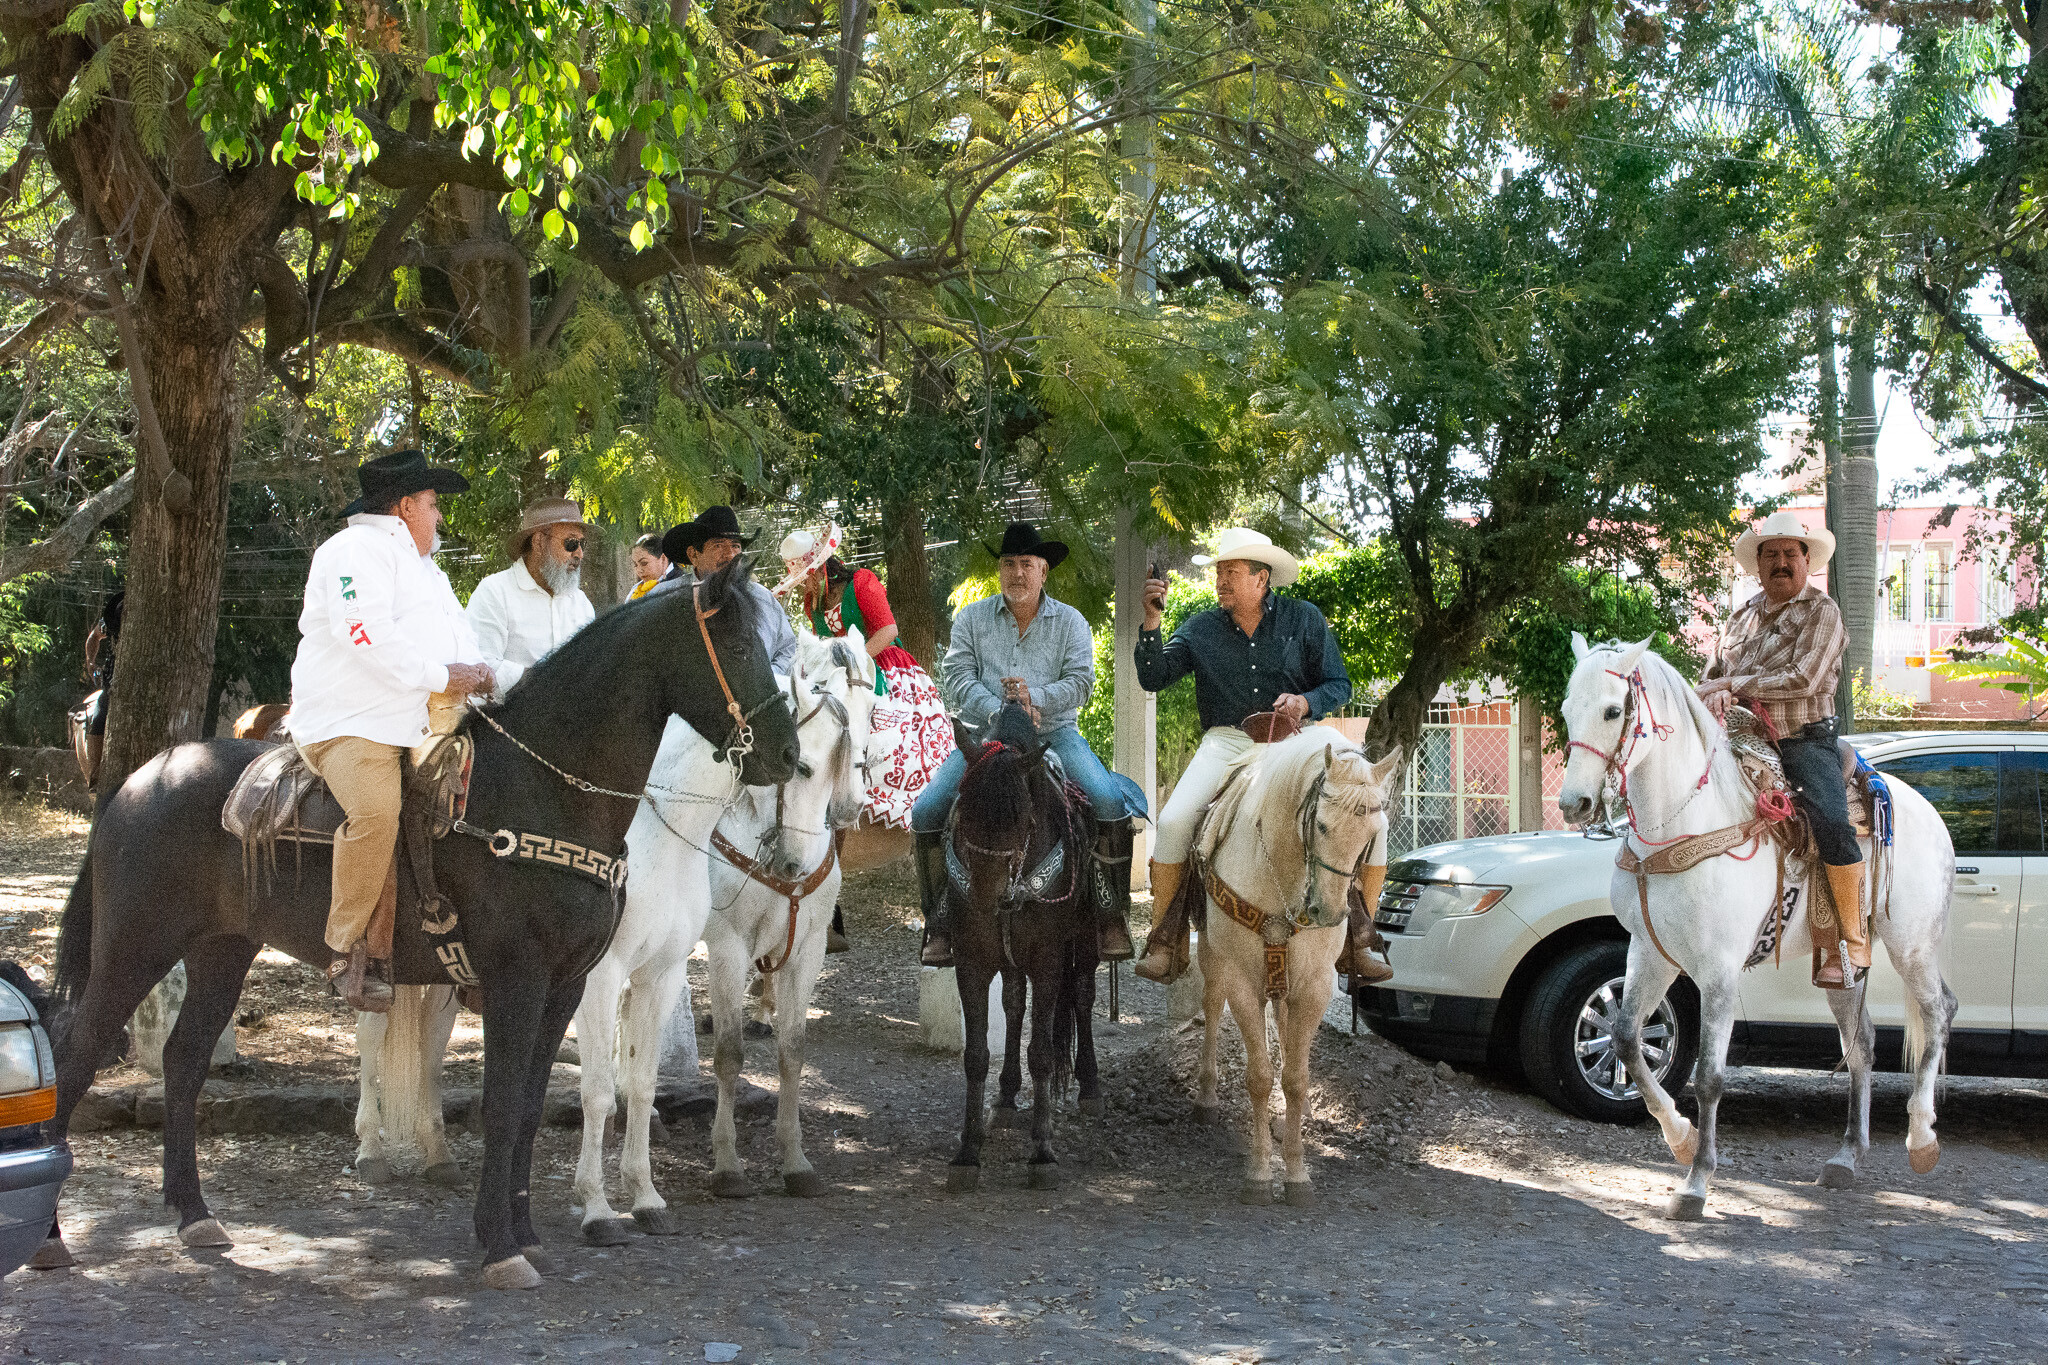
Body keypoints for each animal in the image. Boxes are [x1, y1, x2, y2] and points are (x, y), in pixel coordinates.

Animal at [46, 555, 799, 1289]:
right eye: (738, 644)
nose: (788, 754)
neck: (543, 791)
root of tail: (139, 781)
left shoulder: (565, 983)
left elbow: (531, 1104)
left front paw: (523, 1228)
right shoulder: (518, 978)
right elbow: (504, 1103)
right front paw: (501, 1246)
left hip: (221, 951)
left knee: (183, 1059)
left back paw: (194, 1213)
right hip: (135, 947)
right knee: (75, 1054)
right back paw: (52, 1237)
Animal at [572, 631, 873, 1240]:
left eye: (873, 709)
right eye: (803, 768)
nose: (851, 806)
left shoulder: (806, 952)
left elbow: (792, 1050)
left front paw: (795, 1162)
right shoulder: (729, 946)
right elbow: (731, 1053)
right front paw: (728, 1165)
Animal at [942, 703, 1101, 1193]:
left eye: (1021, 819)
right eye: (962, 813)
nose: (986, 899)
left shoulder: (1049, 962)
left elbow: (1044, 1054)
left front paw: (1043, 1153)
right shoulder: (972, 961)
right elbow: (976, 1055)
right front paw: (967, 1152)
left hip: (1086, 942)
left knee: (1083, 997)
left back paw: (1090, 1087)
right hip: (1009, 959)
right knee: (1013, 1004)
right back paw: (1008, 1096)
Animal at [1188, 730, 1403, 1206]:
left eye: (1371, 836)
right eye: (1321, 825)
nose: (1328, 912)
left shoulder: (1316, 986)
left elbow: (1296, 1079)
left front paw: (1297, 1172)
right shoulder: (1242, 981)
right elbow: (1259, 1077)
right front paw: (1259, 1174)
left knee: (1285, 1034)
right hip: (1213, 957)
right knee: (1211, 1006)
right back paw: (1207, 1098)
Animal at [1557, 635, 1956, 1220]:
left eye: (1612, 711)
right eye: (1566, 710)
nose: (1573, 804)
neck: (1682, 824)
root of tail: (1927, 812)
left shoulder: (1717, 971)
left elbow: (1709, 1077)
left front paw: (1696, 1182)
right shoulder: (1649, 952)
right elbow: (1626, 1038)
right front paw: (1679, 1138)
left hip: (1913, 946)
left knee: (1937, 1013)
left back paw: (1923, 1137)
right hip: (1842, 961)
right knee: (1862, 1043)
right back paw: (1846, 1157)